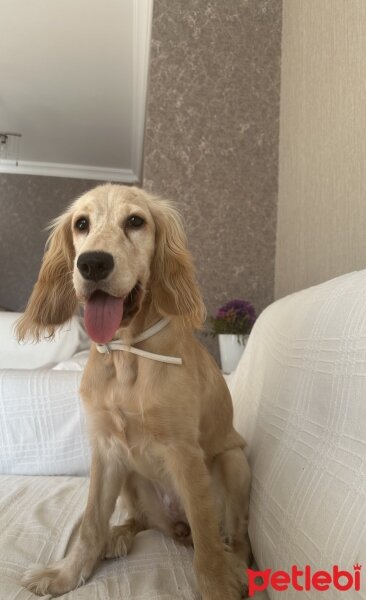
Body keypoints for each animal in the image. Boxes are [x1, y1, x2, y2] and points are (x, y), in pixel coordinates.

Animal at [17, 185, 252, 596]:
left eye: (135, 221)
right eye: (81, 224)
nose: (93, 264)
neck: (125, 354)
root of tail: (177, 526)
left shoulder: (184, 452)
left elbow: (207, 543)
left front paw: (218, 586)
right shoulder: (106, 448)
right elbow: (91, 523)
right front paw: (65, 574)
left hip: (235, 462)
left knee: (234, 538)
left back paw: (236, 568)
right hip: (131, 478)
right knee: (141, 521)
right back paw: (118, 536)